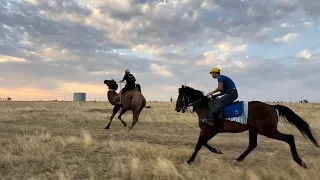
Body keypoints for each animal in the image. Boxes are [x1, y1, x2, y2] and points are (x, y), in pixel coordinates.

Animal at [176, 85, 318, 168]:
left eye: (180, 95)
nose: (177, 108)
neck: (205, 107)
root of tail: (272, 107)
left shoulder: (208, 129)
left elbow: (199, 144)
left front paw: (190, 160)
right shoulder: (212, 131)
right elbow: (204, 143)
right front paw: (216, 150)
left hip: (267, 131)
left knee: (289, 137)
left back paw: (300, 161)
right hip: (254, 130)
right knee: (252, 145)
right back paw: (238, 160)